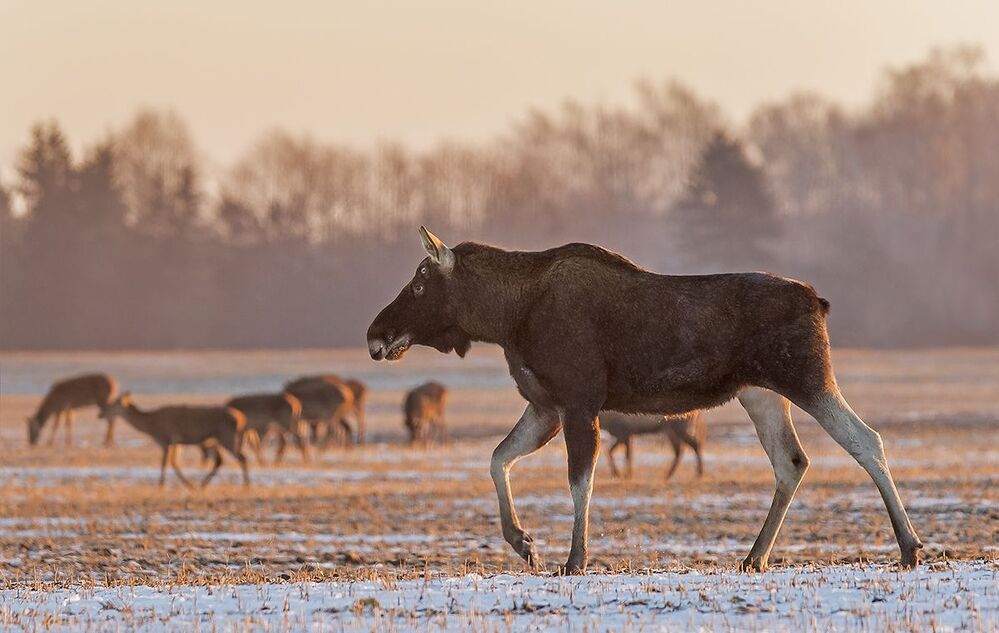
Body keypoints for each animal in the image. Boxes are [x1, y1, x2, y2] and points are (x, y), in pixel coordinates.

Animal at [99, 393, 250, 488]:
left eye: (113, 403)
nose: (100, 414)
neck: (151, 425)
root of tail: (242, 419)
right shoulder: (176, 442)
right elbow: (174, 462)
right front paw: (188, 485)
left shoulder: (165, 440)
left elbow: (165, 463)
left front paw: (161, 485)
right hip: (213, 440)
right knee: (220, 461)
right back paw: (202, 485)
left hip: (227, 437)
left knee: (242, 457)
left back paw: (246, 485)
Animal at [366, 226, 922, 574]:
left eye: (420, 283)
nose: (375, 334)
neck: (505, 318)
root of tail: (819, 302)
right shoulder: (546, 405)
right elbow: (497, 458)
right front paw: (524, 543)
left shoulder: (579, 400)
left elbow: (580, 483)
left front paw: (573, 560)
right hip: (761, 394)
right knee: (792, 461)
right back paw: (754, 556)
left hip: (806, 377)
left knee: (866, 440)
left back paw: (910, 546)